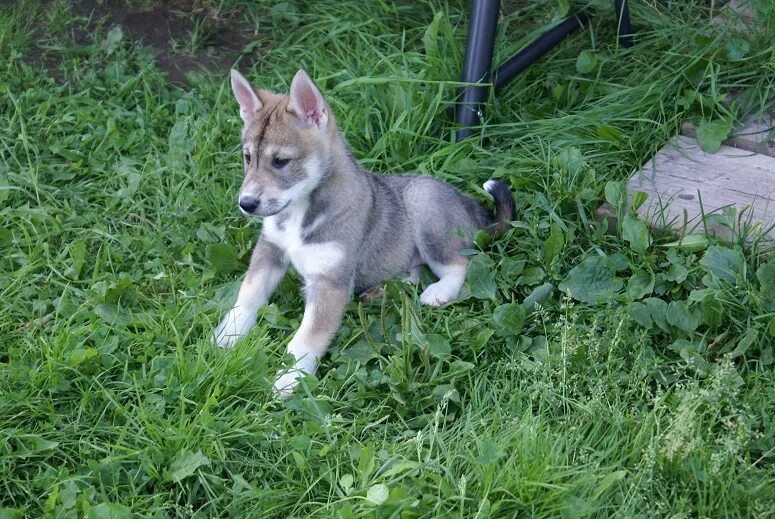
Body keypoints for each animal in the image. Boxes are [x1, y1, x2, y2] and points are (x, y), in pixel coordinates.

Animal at [215, 68, 516, 394]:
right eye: (248, 157)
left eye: (281, 161)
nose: (246, 204)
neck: (300, 211)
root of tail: (471, 209)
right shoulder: (270, 250)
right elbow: (249, 293)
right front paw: (228, 334)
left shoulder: (330, 282)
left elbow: (307, 338)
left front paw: (290, 378)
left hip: (425, 204)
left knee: (460, 263)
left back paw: (438, 292)